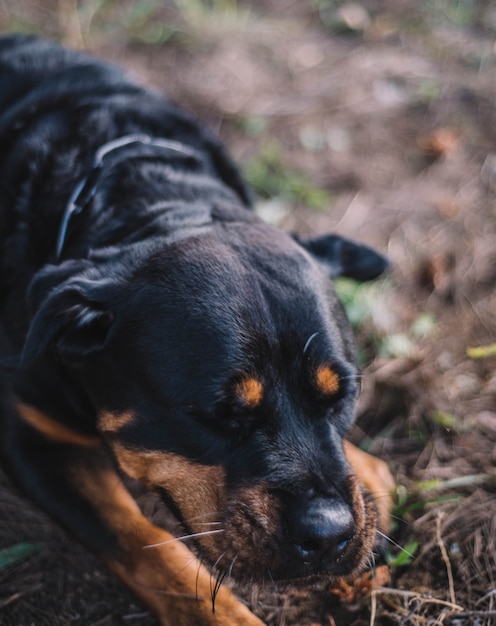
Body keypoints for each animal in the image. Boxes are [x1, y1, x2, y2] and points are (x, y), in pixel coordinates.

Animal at [0, 34, 396, 624]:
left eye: (343, 396)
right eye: (218, 413)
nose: (329, 534)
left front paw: (367, 471)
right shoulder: (31, 438)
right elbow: (145, 540)